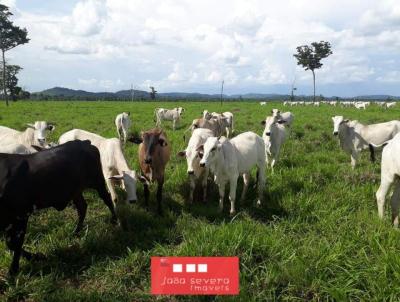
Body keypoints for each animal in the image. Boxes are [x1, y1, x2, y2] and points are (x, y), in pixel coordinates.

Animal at [0, 140, 117, 274]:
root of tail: (84, 142)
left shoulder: (22, 214)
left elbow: (16, 243)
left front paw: (14, 269)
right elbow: (11, 243)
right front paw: (35, 257)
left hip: (97, 181)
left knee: (107, 199)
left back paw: (114, 220)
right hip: (75, 191)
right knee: (82, 208)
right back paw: (76, 232)